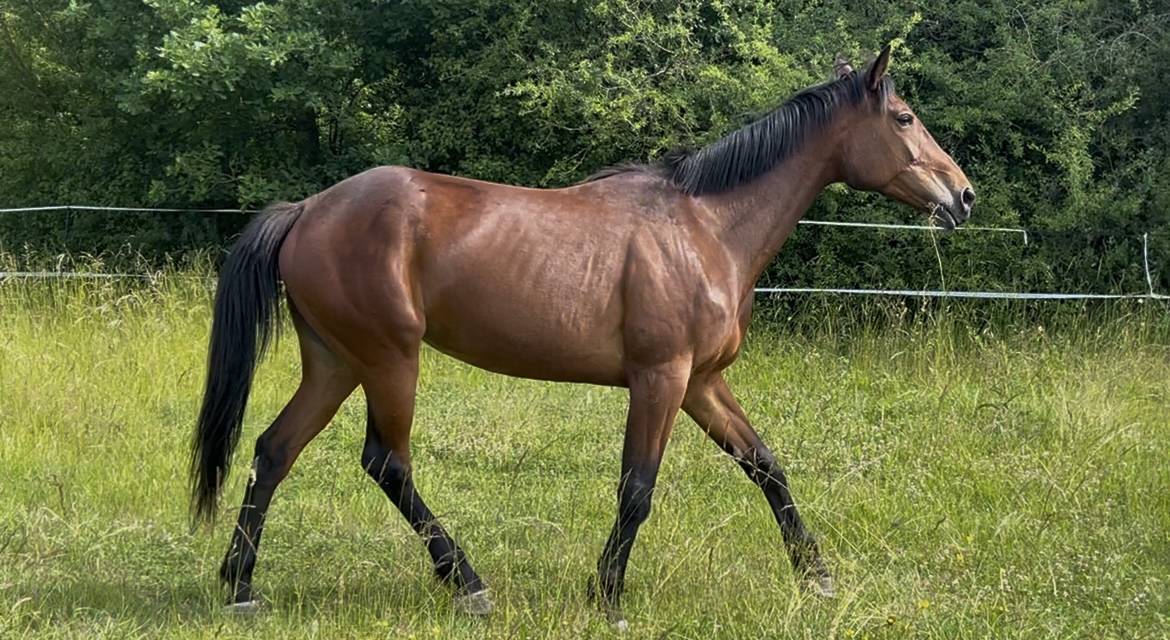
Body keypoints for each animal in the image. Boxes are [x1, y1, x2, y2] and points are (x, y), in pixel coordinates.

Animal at [191, 46, 974, 625]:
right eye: (903, 117)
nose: (963, 196)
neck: (705, 227)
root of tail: (307, 209)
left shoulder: (702, 381)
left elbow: (766, 466)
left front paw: (816, 575)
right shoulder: (660, 379)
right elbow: (637, 488)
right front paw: (608, 595)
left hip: (334, 362)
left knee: (273, 452)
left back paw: (240, 587)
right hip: (388, 361)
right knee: (387, 462)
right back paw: (468, 583)